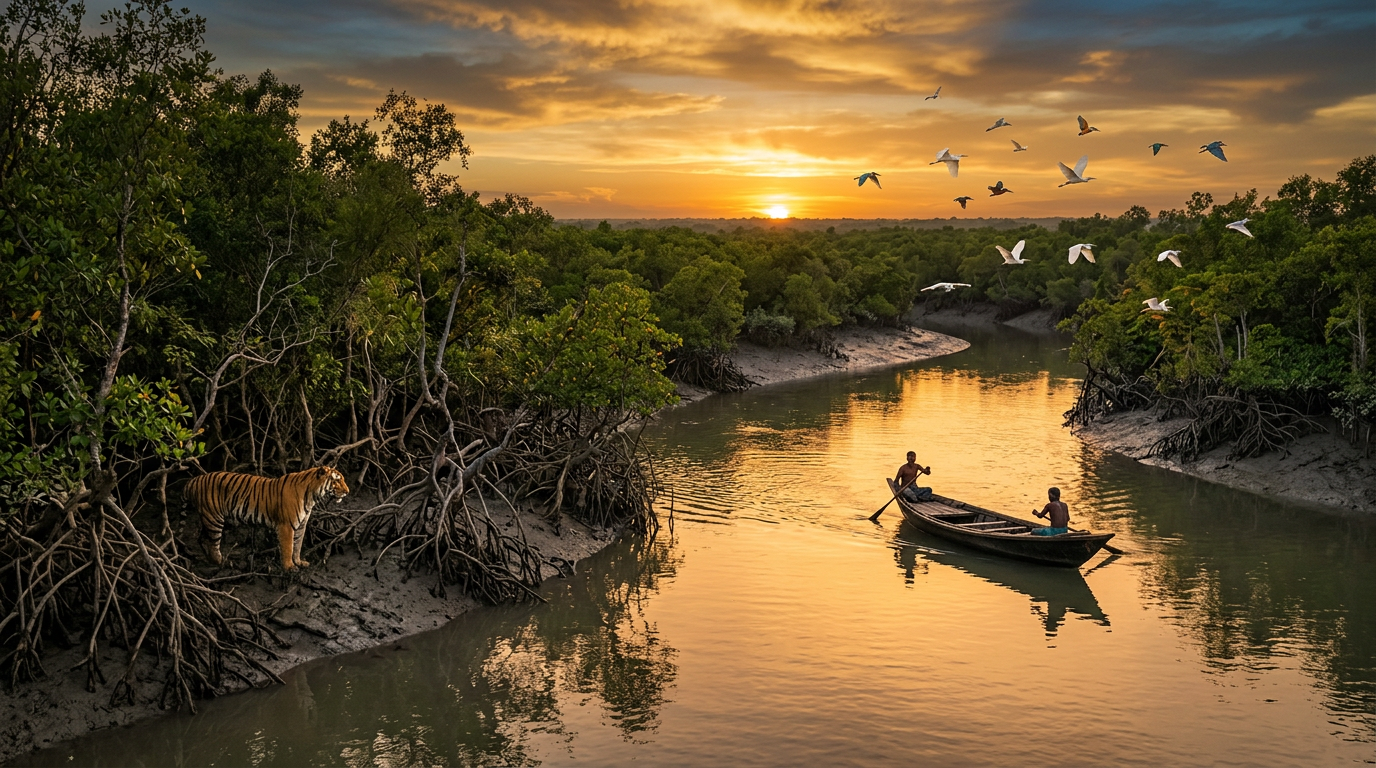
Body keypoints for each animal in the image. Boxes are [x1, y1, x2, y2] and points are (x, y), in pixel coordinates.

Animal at [185, 466, 350, 572]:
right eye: (336, 481)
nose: (347, 492)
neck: (312, 497)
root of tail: (194, 480)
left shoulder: (301, 525)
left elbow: (297, 545)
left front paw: (299, 562)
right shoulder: (286, 526)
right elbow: (288, 547)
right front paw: (289, 567)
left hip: (208, 518)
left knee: (203, 539)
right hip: (214, 518)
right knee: (213, 544)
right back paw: (224, 562)